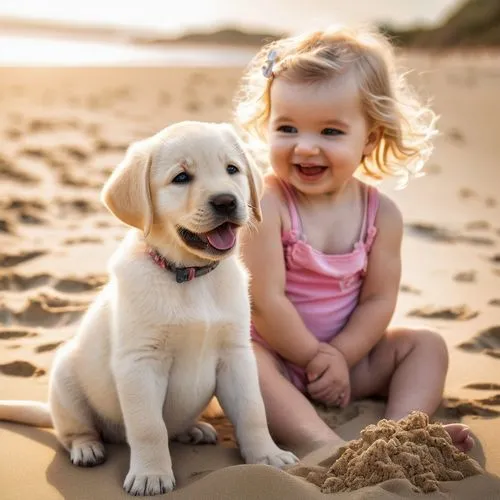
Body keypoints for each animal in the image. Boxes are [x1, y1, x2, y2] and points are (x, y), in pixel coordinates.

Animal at [0, 121, 296, 496]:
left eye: (232, 169)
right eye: (181, 178)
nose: (227, 201)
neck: (189, 275)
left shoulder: (236, 355)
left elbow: (253, 411)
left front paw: (267, 455)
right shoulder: (140, 362)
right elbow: (148, 427)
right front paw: (150, 475)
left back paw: (193, 429)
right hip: (65, 379)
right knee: (74, 430)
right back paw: (87, 447)